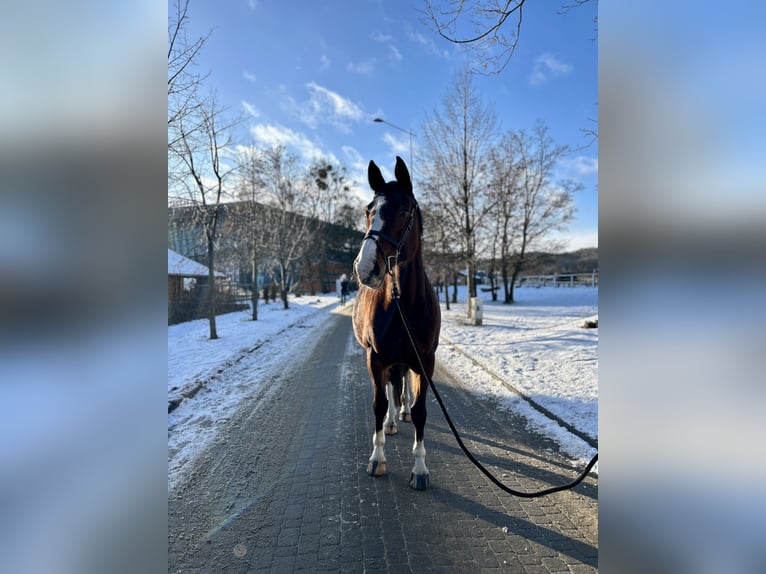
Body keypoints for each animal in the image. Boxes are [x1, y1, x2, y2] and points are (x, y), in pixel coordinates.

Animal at [352, 156, 441, 490]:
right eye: (369, 210)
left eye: (404, 210)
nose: (366, 267)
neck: (405, 303)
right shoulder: (375, 358)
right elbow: (379, 404)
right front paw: (377, 458)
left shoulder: (425, 361)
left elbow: (420, 411)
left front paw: (420, 468)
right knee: (391, 389)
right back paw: (391, 420)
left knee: (402, 388)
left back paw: (400, 412)